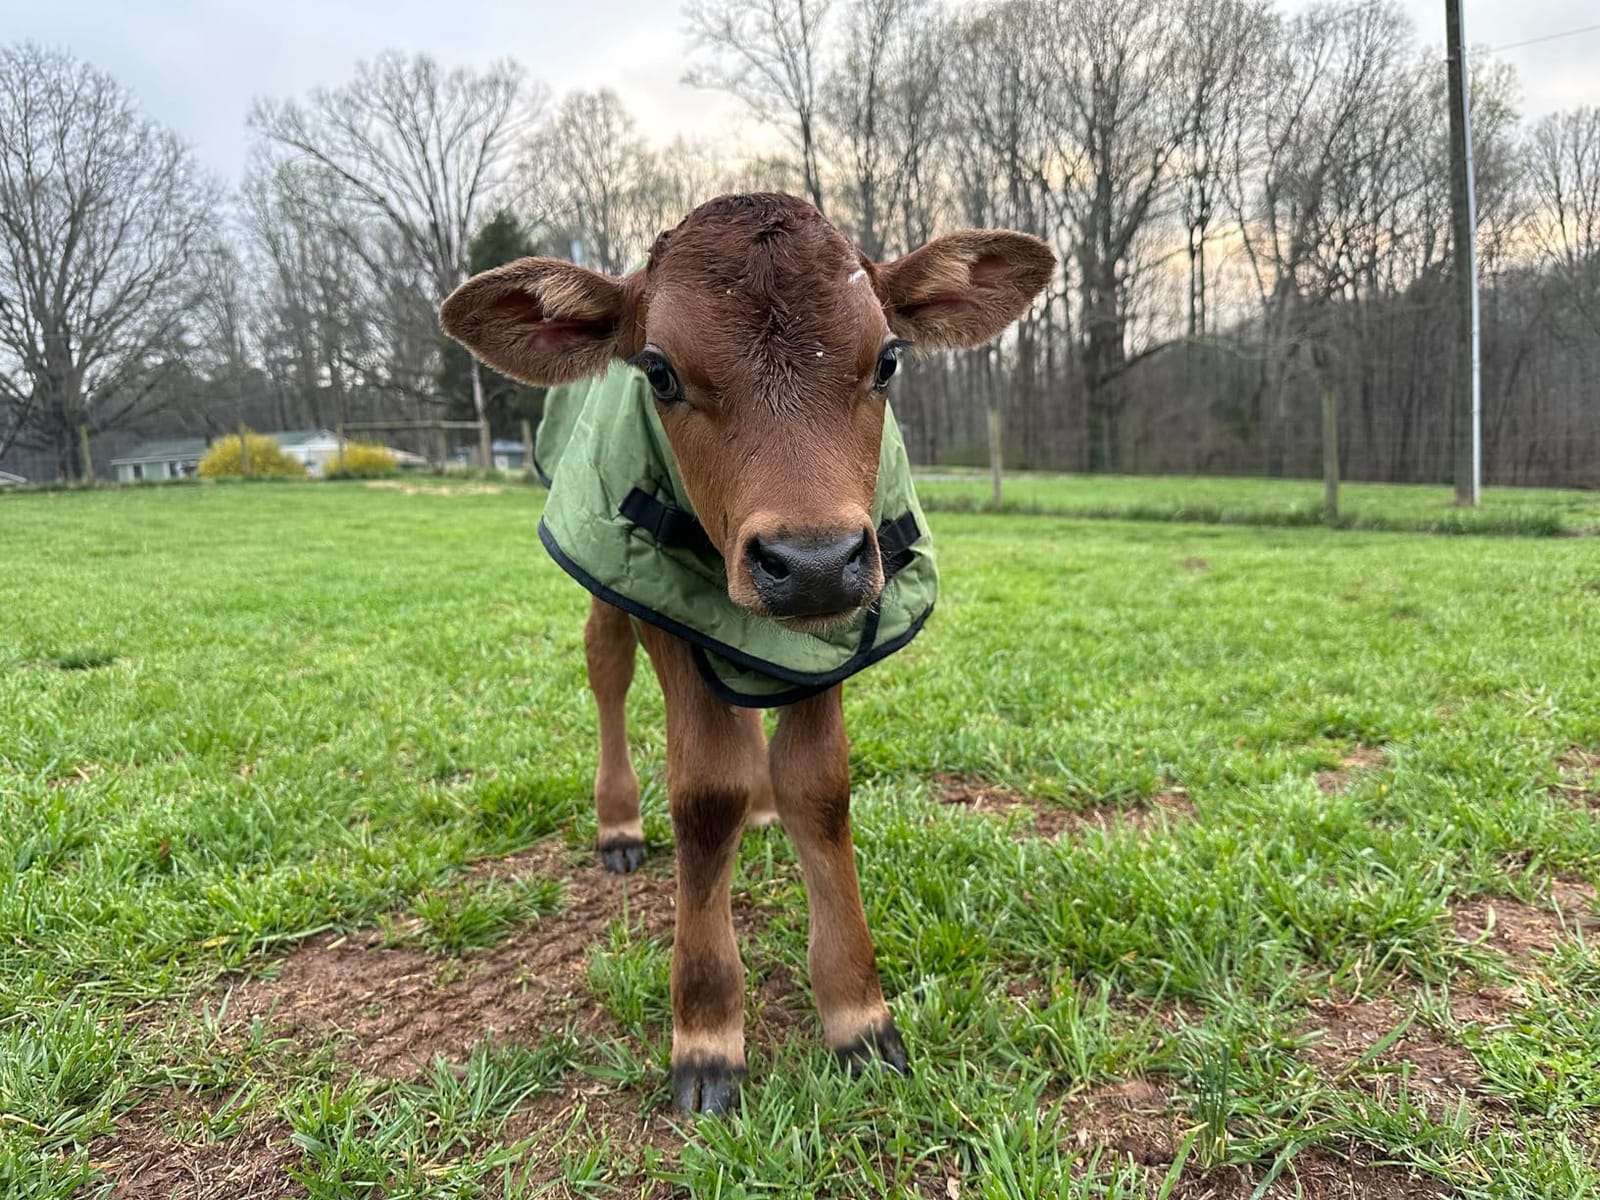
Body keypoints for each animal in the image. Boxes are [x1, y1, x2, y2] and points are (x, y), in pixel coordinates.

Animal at [440, 193, 1052, 1113]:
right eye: (658, 372)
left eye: (888, 361)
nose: (810, 560)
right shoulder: (664, 602)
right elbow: (706, 791)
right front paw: (706, 1032)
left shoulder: (844, 618)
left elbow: (819, 786)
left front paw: (858, 1013)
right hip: (604, 570)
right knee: (606, 669)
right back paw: (619, 822)